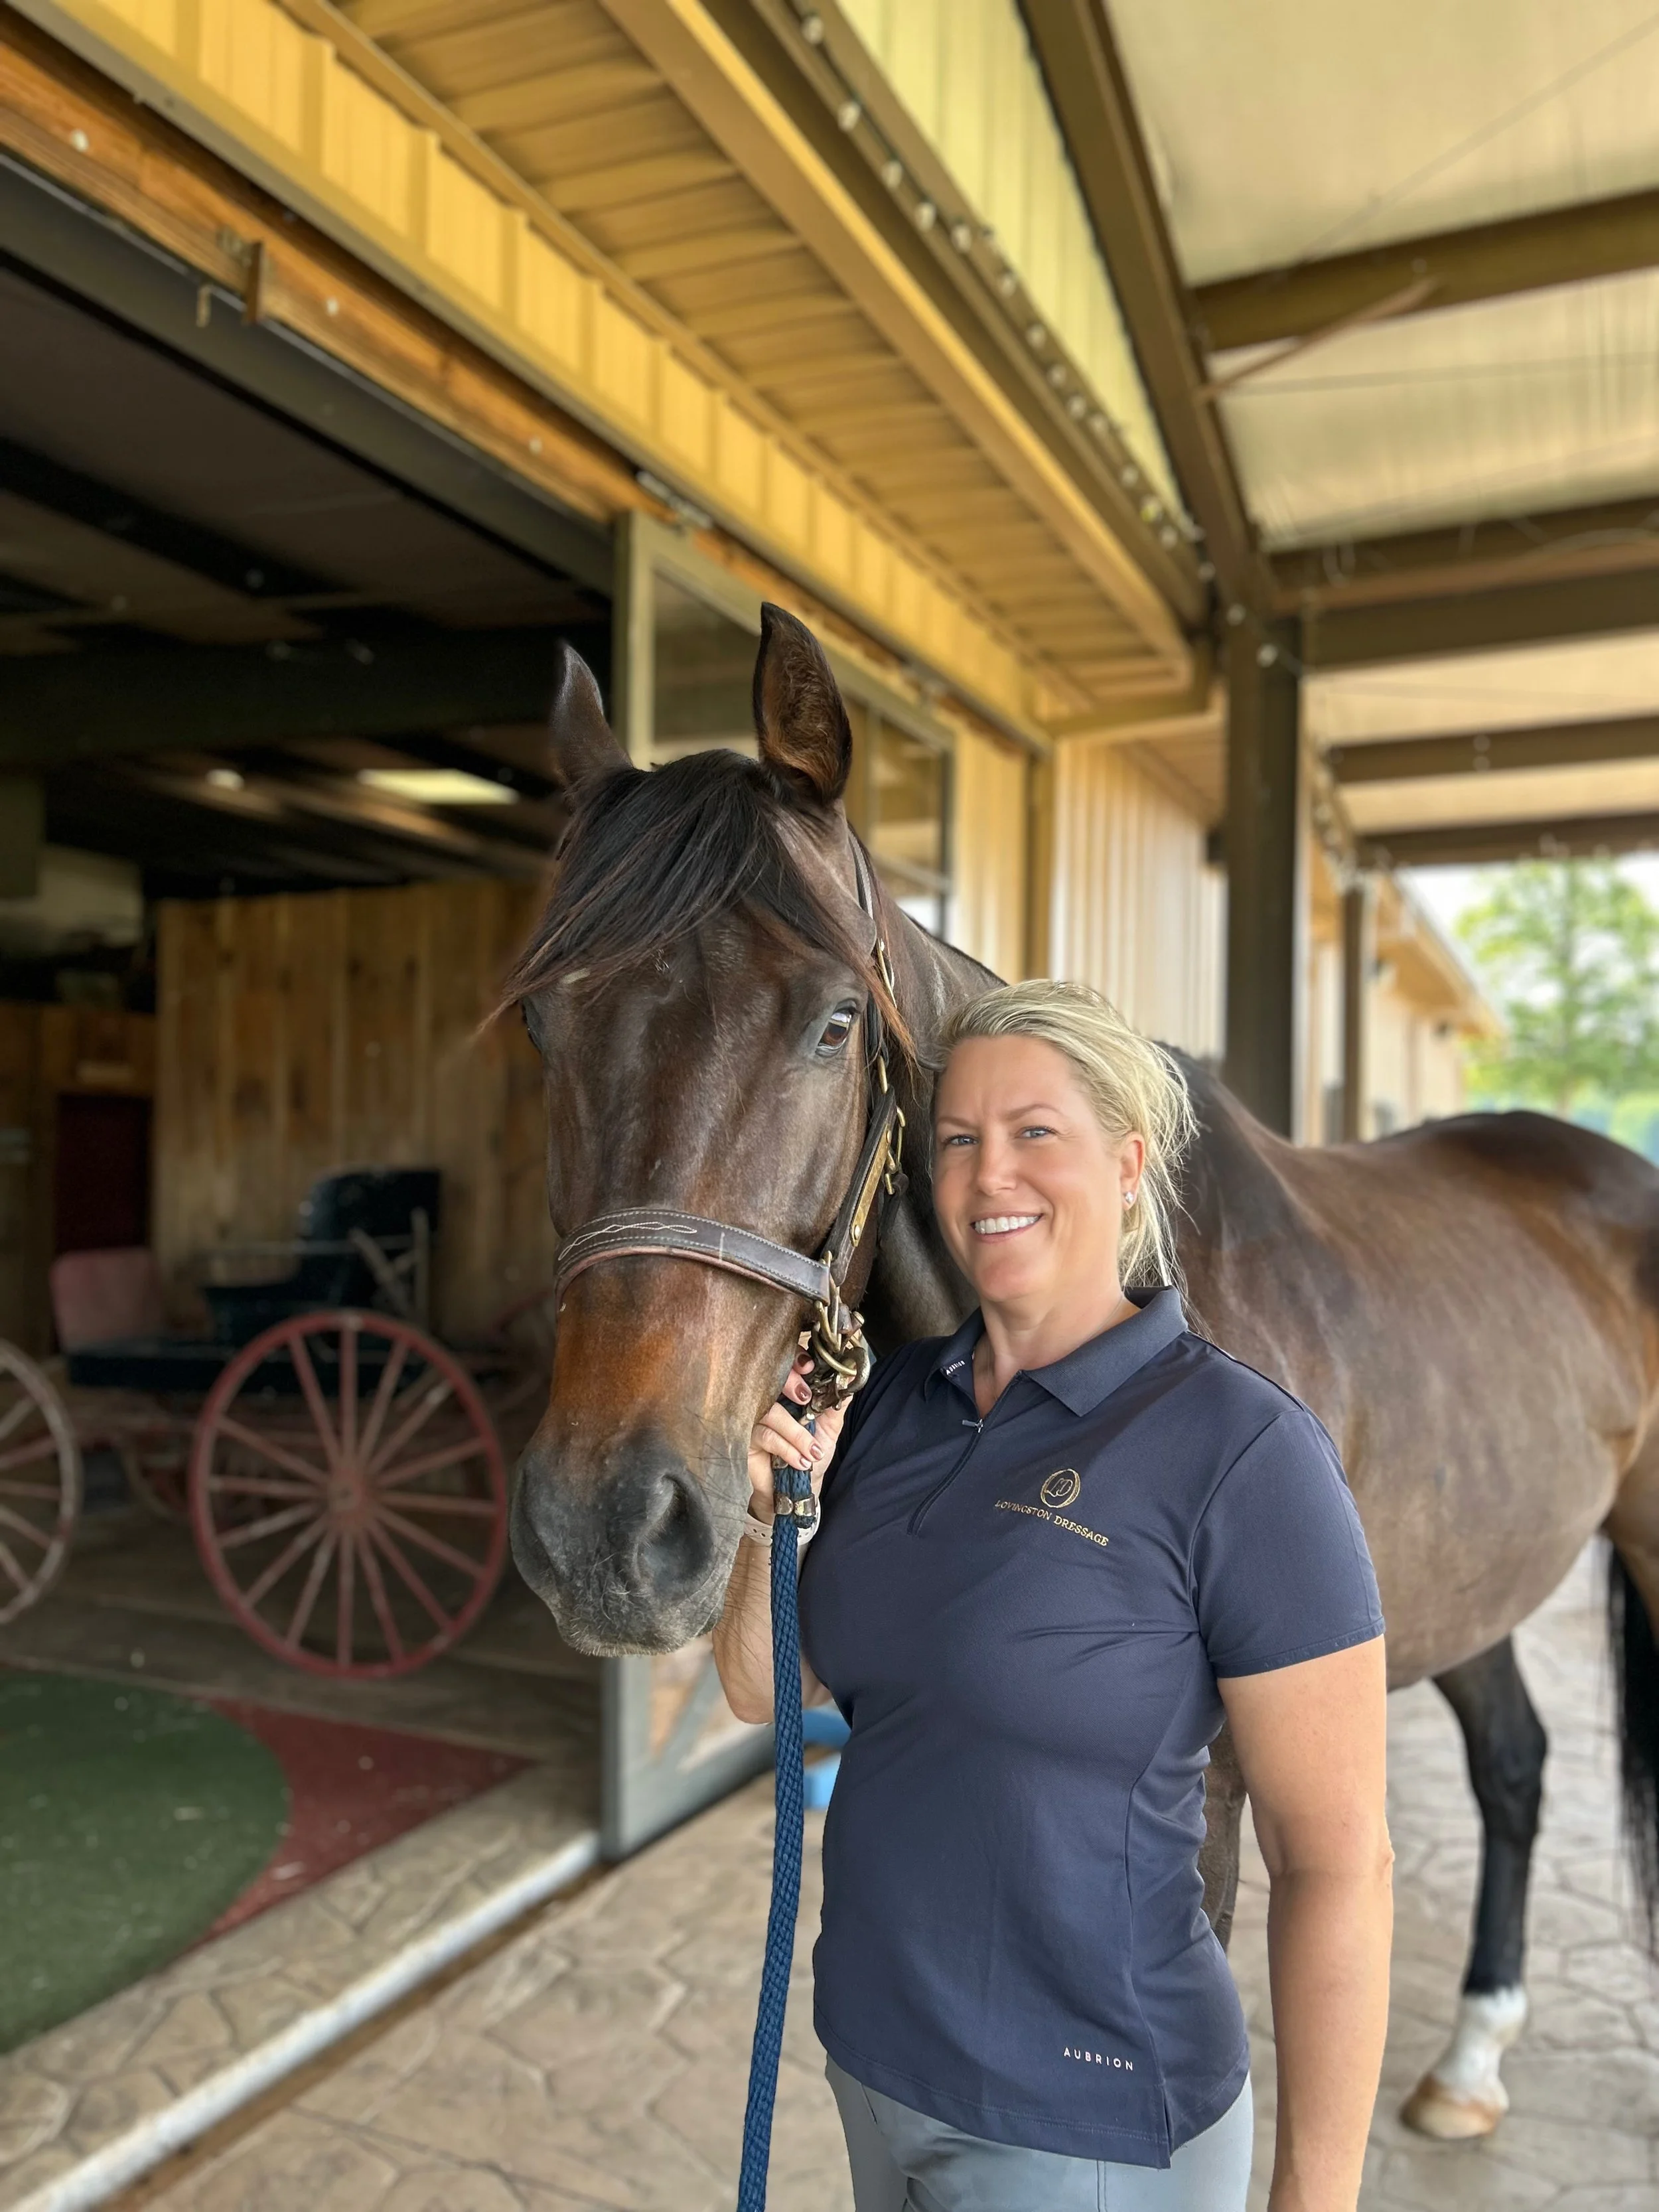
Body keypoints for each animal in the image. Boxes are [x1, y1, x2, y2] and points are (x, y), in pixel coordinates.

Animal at [505, 603, 1659, 2143]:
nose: (608, 1529)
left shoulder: (1215, 1785)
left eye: (832, 1020)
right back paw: (1469, 2057)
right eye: (544, 1027)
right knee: (1517, 1763)